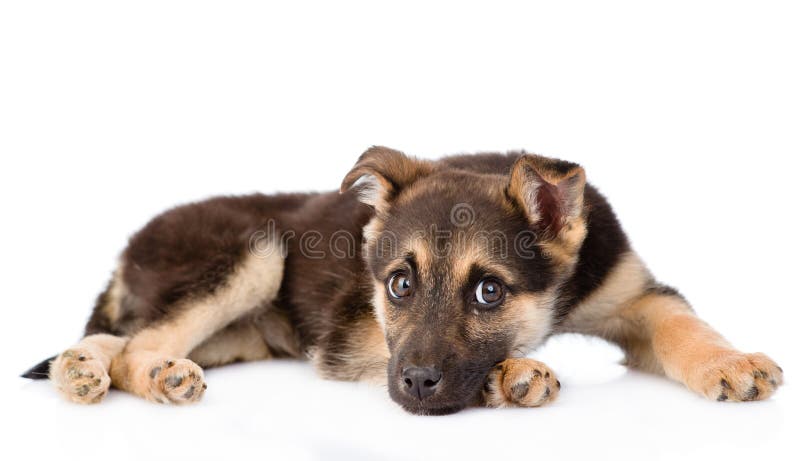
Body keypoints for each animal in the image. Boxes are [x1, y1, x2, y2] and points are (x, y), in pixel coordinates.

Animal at [21, 147, 784, 414]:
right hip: (254, 251)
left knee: (119, 338)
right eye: (396, 285)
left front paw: (730, 362)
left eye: (489, 291)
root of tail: (126, 249)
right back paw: (142, 377)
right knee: (139, 346)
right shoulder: (351, 339)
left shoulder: (633, 293)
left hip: (240, 333)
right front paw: (511, 374)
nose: (416, 386)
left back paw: (80, 370)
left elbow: (684, 323)